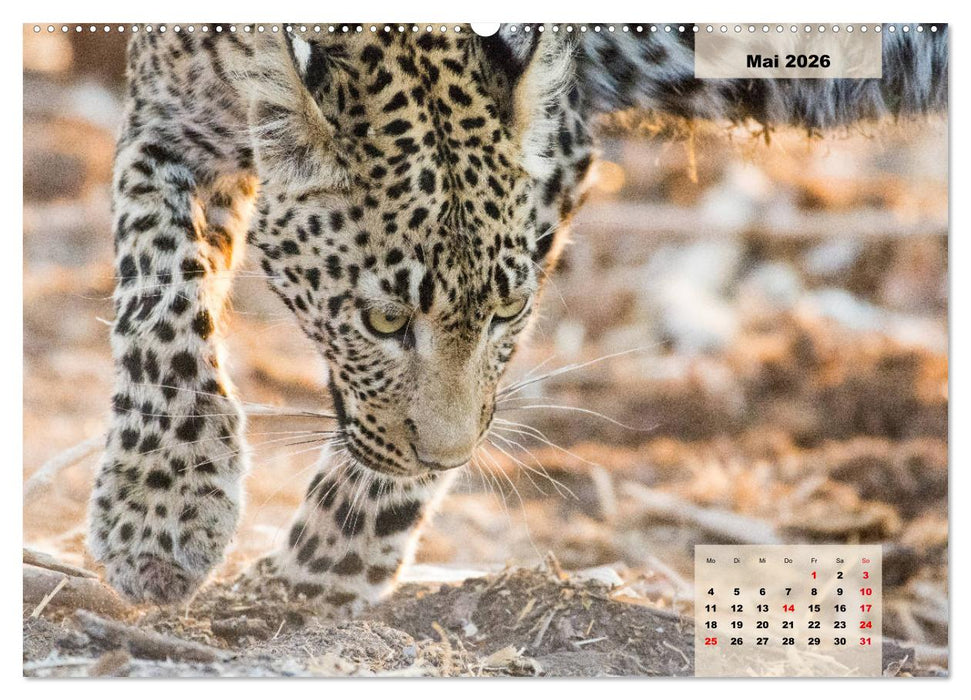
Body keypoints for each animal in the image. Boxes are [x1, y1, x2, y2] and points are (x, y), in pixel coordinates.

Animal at [87, 23, 947, 615]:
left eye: (506, 310)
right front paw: (160, 512)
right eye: (383, 320)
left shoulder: (559, 143)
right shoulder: (169, 117)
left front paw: (320, 570)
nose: (444, 458)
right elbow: (157, 289)